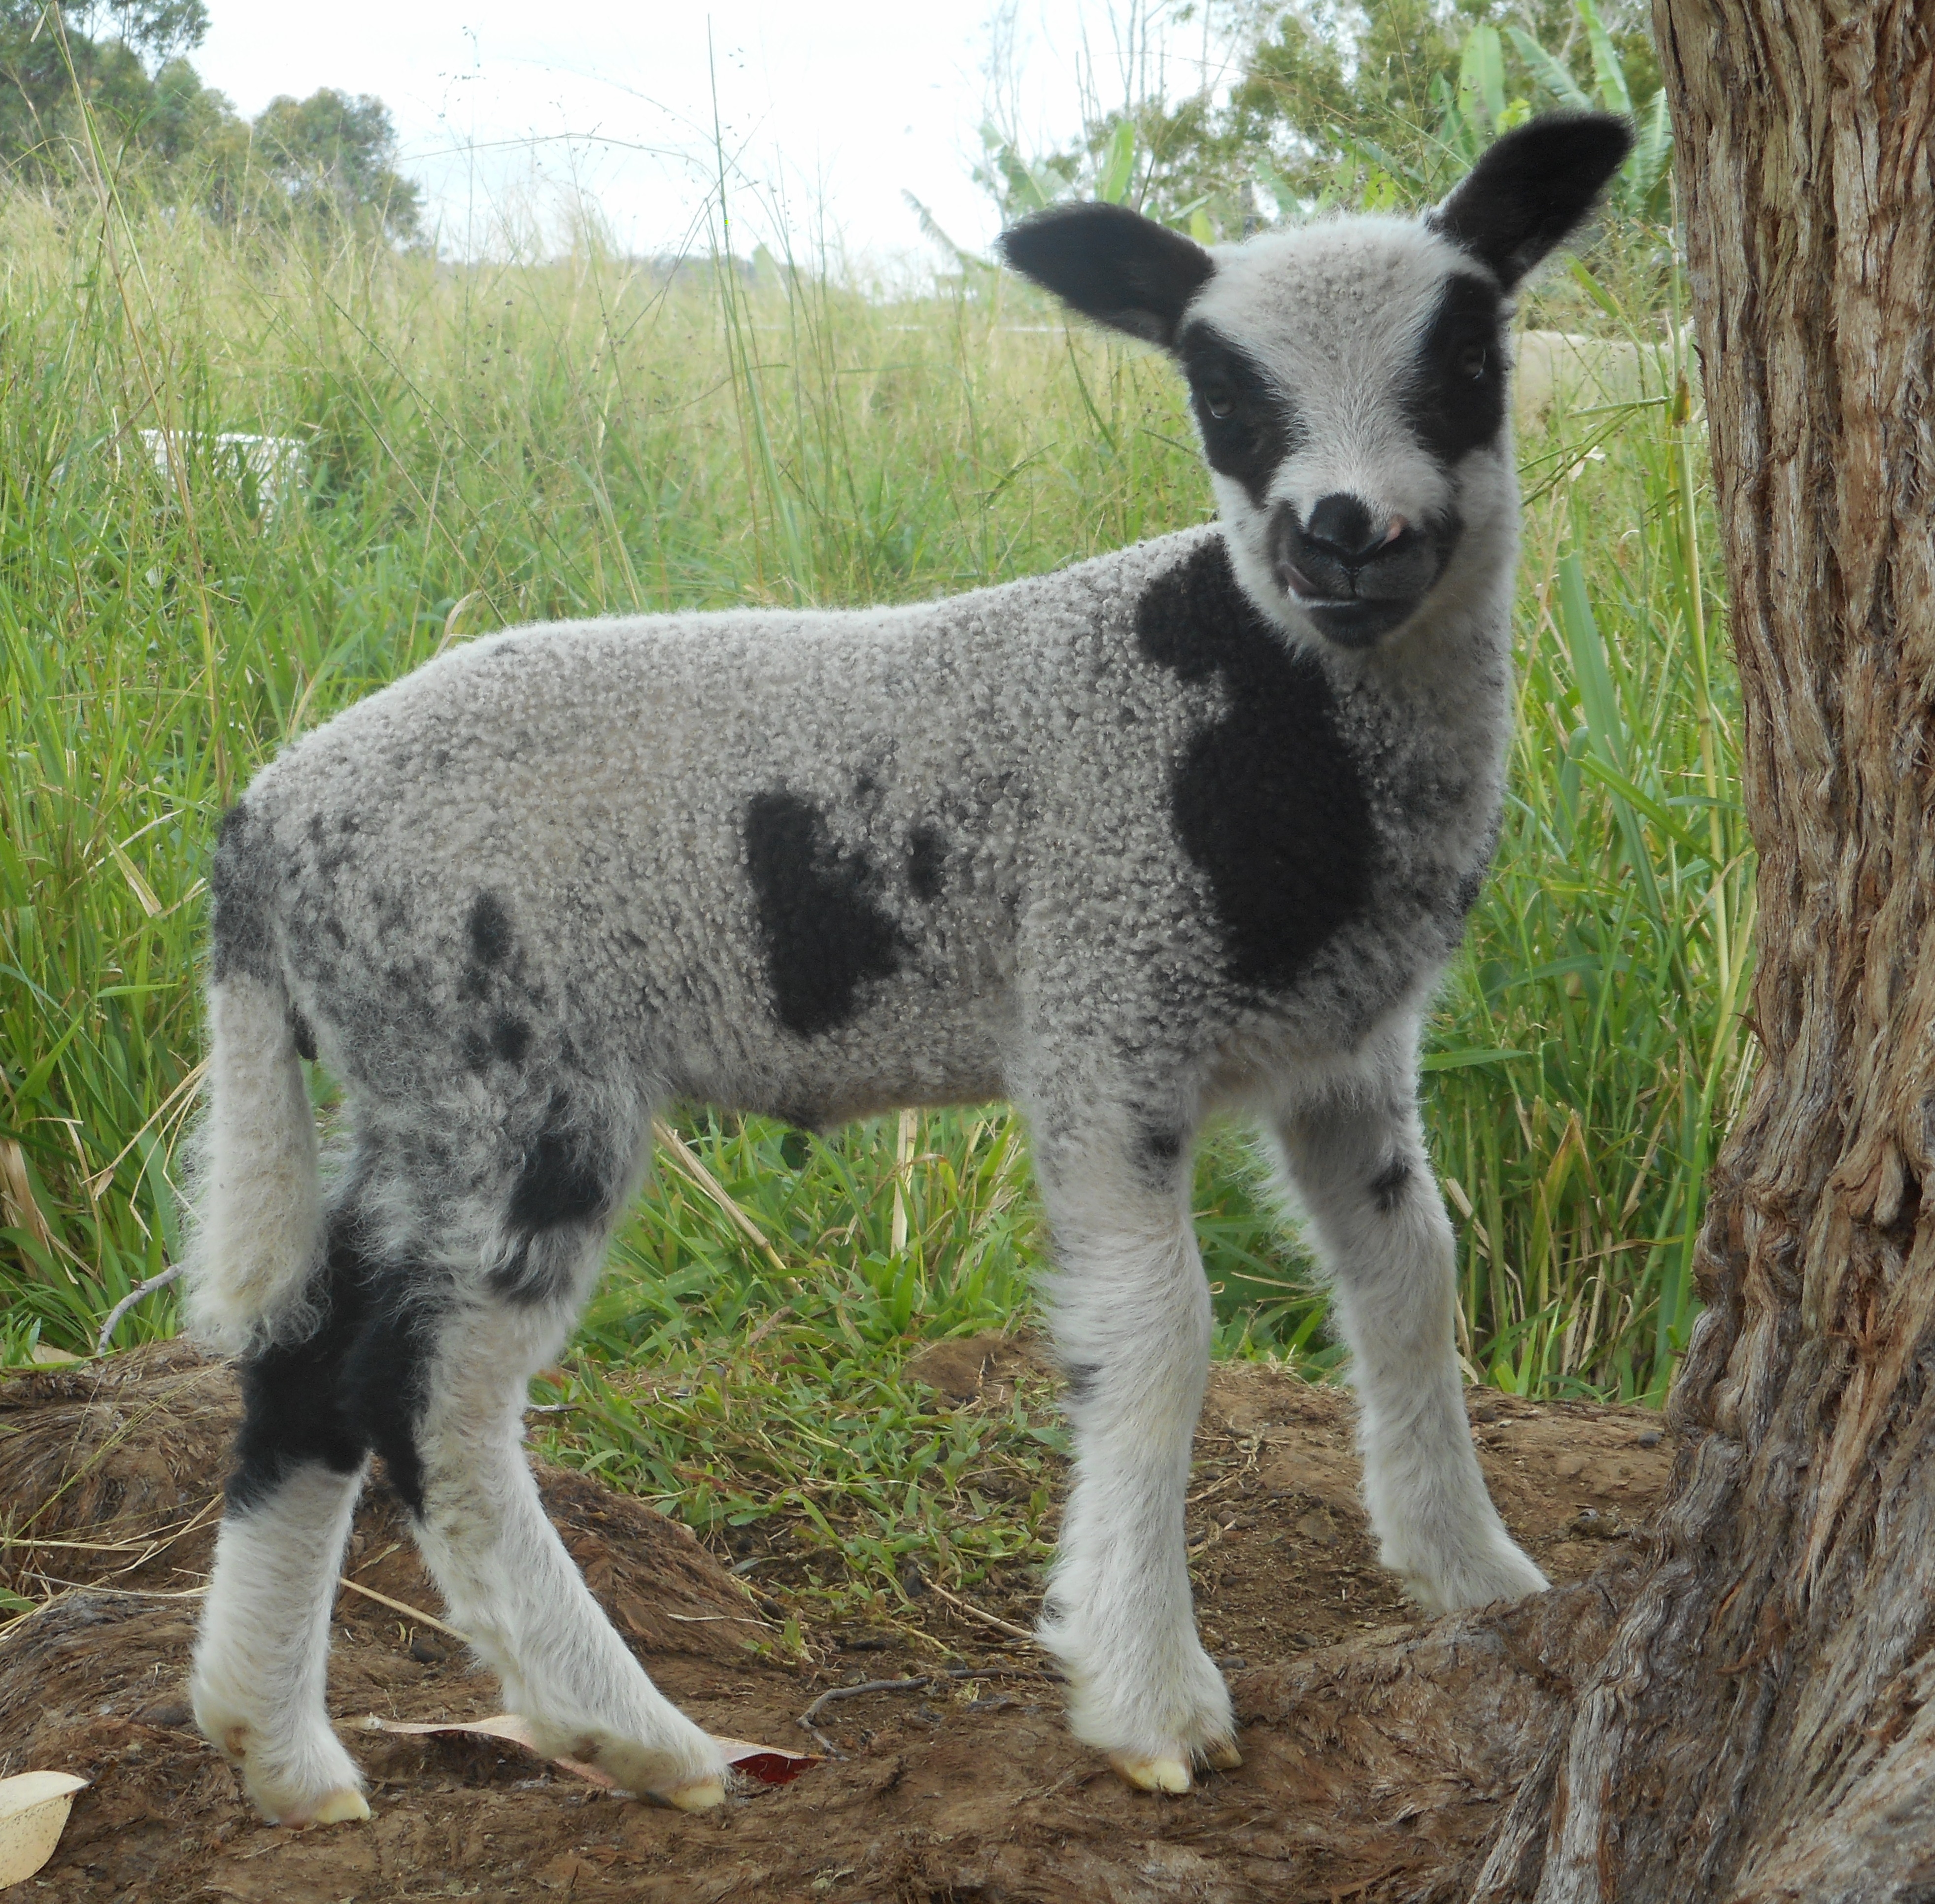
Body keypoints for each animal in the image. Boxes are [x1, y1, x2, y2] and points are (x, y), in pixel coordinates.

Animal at [182, 107, 1633, 1826]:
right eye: (1219, 393)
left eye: (1468, 353)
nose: (1342, 532)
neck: (1264, 711)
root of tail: (266, 825)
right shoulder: (1102, 999)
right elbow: (1159, 1335)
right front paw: (1147, 1698)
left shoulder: (1343, 1043)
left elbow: (1410, 1275)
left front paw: (1472, 1573)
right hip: (506, 1063)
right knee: (428, 1400)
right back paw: (637, 1737)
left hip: (414, 1077)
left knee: (303, 1366)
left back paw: (277, 1749)